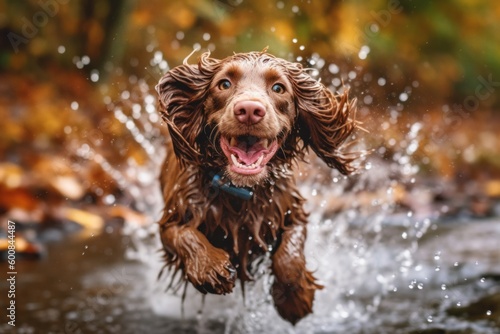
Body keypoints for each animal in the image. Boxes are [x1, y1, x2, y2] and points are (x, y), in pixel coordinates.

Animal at [155, 49, 356, 324]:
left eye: (278, 88)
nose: (249, 110)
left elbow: (289, 256)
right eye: (224, 84)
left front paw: (296, 299)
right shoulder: (174, 214)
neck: (240, 190)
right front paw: (210, 268)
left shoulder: (290, 209)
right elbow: (184, 234)